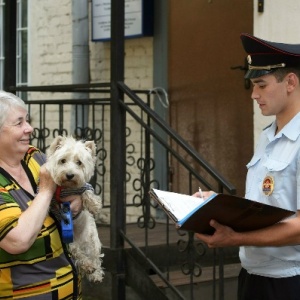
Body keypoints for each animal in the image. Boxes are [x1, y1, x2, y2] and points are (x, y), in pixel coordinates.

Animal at [45, 135, 103, 282]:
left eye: (79, 162)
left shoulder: (83, 187)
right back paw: (88, 266)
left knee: (95, 257)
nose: (70, 175)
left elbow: (87, 191)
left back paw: (95, 274)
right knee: (79, 255)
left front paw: (94, 206)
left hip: (92, 239)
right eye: (62, 160)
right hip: (70, 243)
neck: (67, 187)